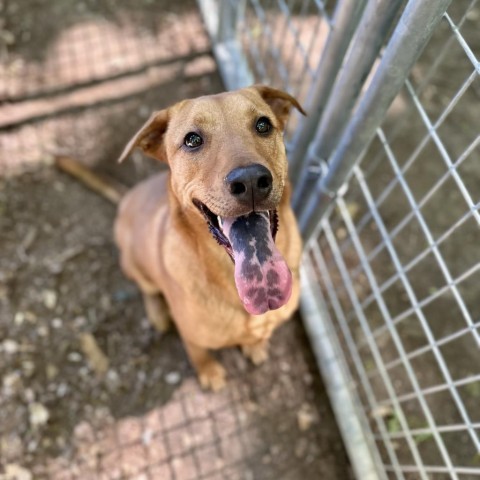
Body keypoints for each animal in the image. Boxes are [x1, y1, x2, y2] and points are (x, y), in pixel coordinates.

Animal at [114, 85, 306, 390]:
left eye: (263, 125)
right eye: (192, 140)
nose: (251, 180)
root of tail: (125, 198)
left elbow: (259, 336)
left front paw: (255, 346)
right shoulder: (191, 335)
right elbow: (198, 354)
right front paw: (209, 372)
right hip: (134, 264)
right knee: (147, 289)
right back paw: (158, 313)